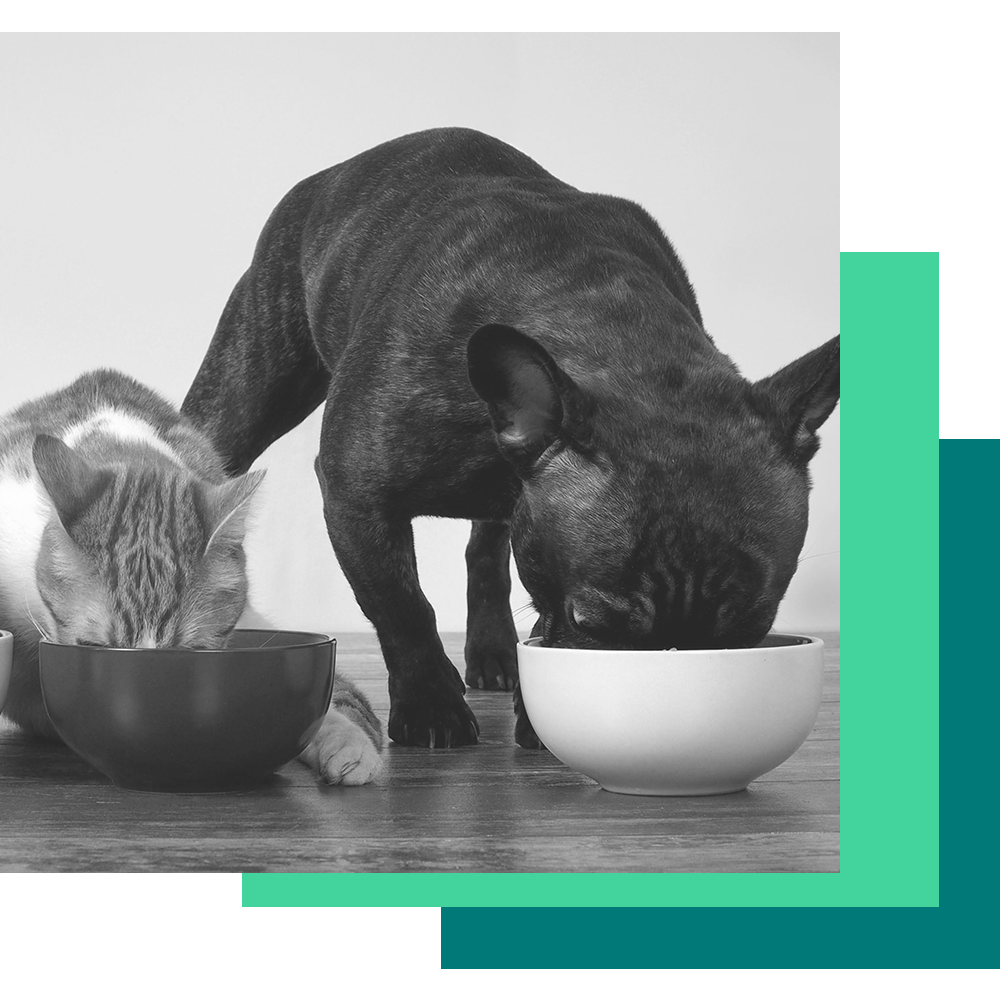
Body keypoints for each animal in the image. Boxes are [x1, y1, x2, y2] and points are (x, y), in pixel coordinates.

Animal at [184, 127, 840, 752]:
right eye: (592, 623)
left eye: (752, 633)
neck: (618, 335)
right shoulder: (357, 495)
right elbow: (401, 606)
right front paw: (431, 706)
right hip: (247, 382)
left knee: (486, 552)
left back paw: (494, 650)